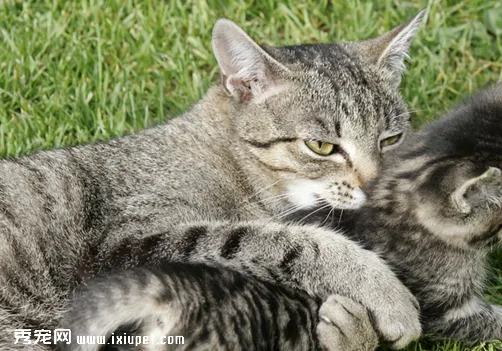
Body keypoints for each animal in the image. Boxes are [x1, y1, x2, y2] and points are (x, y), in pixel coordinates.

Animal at [0, 12, 426, 350]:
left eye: (391, 140)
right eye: (321, 146)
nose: (375, 185)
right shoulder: (124, 247)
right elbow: (283, 241)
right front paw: (381, 291)